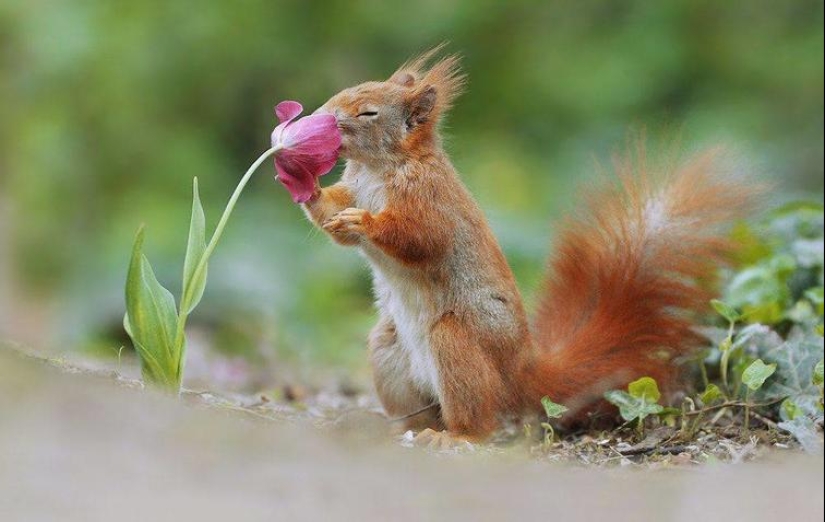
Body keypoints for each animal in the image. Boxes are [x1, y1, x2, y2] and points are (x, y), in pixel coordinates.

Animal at [302, 49, 752, 438]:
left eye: (369, 112)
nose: (321, 116)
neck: (378, 169)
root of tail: (523, 376)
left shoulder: (431, 198)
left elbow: (421, 238)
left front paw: (363, 221)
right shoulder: (355, 186)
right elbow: (334, 217)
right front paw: (309, 188)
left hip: (456, 343)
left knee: (479, 421)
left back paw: (457, 437)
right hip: (390, 350)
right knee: (422, 408)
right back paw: (404, 430)